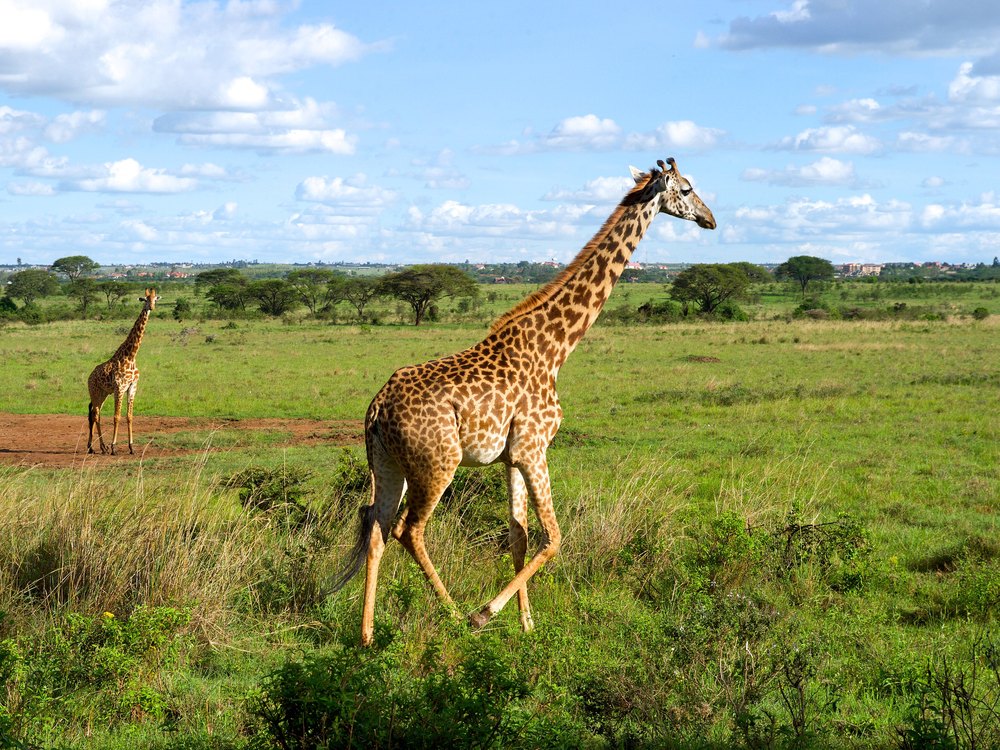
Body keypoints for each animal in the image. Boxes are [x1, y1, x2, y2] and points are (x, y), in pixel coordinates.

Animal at [87, 287, 159, 455]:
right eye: (145, 299)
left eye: (155, 299)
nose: (151, 307)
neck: (131, 356)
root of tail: (89, 377)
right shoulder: (119, 387)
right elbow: (116, 416)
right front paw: (114, 447)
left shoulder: (132, 386)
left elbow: (129, 416)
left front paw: (131, 447)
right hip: (94, 392)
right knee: (95, 415)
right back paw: (99, 447)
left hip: (103, 394)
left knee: (95, 414)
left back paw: (97, 447)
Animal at [333, 158, 715, 646]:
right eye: (686, 189)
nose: (710, 219)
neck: (556, 348)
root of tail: (377, 408)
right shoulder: (535, 447)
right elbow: (553, 537)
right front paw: (487, 614)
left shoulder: (513, 456)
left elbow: (520, 536)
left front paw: (527, 625)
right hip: (437, 464)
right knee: (409, 529)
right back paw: (455, 615)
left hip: (387, 465)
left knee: (377, 529)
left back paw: (366, 635)